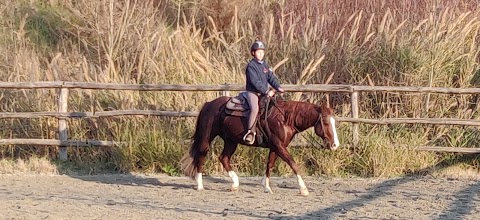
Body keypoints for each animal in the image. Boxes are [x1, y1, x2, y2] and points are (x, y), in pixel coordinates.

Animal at [180, 91, 342, 196]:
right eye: (326, 122)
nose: (335, 145)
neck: (285, 118)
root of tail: (209, 104)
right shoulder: (278, 145)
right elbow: (292, 163)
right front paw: (303, 189)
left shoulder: (276, 146)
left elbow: (269, 164)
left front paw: (266, 186)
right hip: (206, 137)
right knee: (201, 155)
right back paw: (199, 184)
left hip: (231, 141)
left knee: (224, 158)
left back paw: (235, 184)